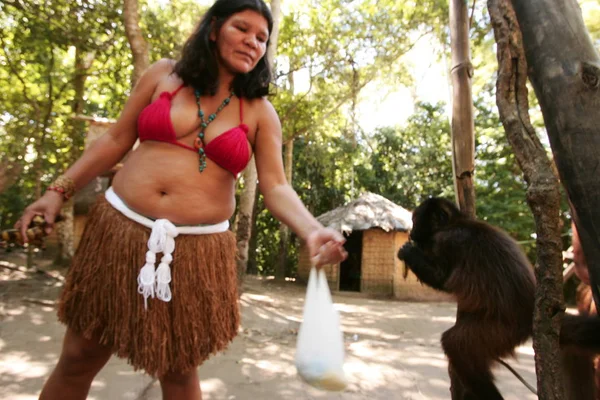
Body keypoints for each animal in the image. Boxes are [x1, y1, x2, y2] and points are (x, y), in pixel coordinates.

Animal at [398, 198, 600, 400]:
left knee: (455, 344)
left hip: (503, 331)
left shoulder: (446, 241)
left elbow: (442, 278)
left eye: (415, 220)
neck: (456, 223)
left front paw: (408, 252)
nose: (412, 232)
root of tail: (532, 310)